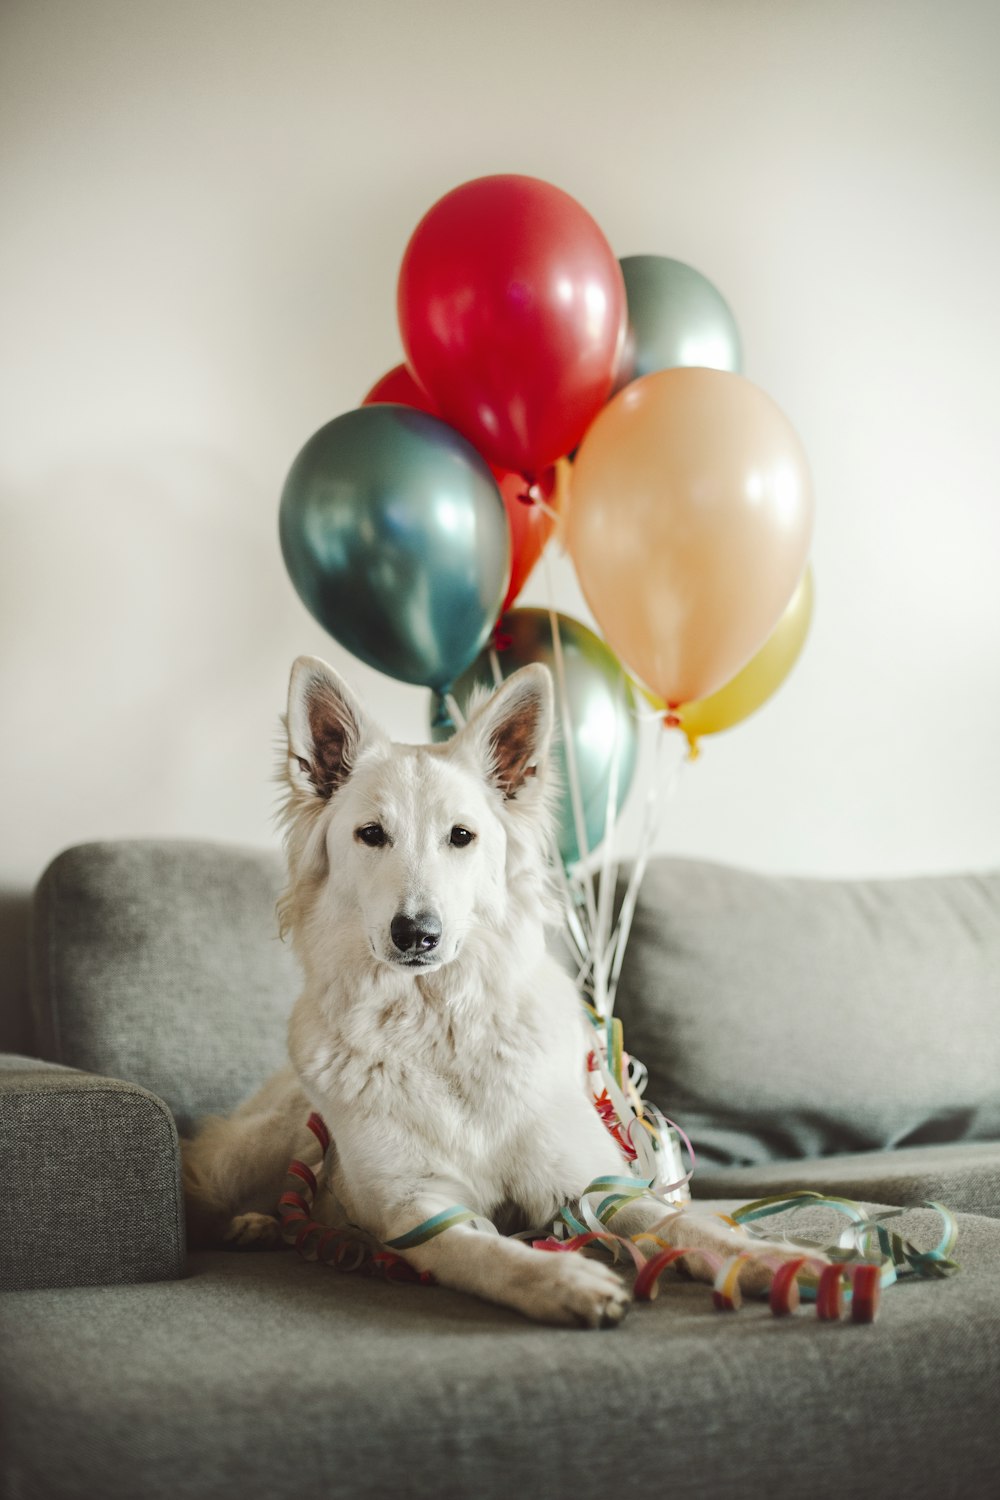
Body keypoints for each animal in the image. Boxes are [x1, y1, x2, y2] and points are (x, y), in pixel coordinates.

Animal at [183, 654, 803, 1326]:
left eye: (461, 836)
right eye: (371, 834)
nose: (416, 934)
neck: (437, 1025)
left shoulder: (589, 1187)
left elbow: (683, 1224)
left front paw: (779, 1261)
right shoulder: (417, 1208)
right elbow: (492, 1256)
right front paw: (563, 1280)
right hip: (260, 1148)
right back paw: (250, 1224)